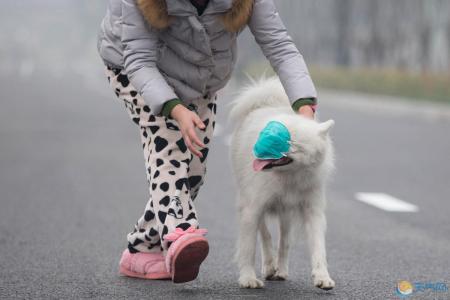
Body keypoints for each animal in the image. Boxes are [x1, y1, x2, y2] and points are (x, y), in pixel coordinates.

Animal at [230, 76, 336, 290]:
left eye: (291, 143)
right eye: (269, 135)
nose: (260, 148)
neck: (290, 177)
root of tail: (265, 102)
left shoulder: (312, 210)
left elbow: (318, 247)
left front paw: (322, 277)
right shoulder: (253, 208)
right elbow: (248, 248)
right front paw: (248, 278)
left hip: (286, 213)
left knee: (284, 241)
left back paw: (281, 270)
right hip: (251, 201)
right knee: (265, 235)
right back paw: (270, 265)